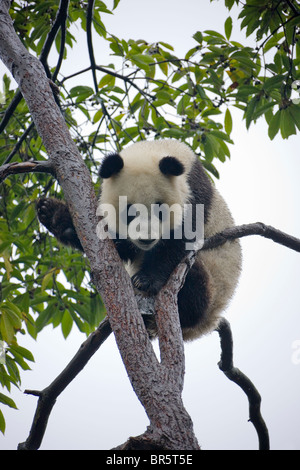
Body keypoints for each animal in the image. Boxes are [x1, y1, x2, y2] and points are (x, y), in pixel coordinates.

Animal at [36, 140, 241, 342]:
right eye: (130, 211)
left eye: (160, 210)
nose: (146, 238)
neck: (152, 150)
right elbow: (117, 245)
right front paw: (53, 214)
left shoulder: (193, 193)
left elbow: (178, 240)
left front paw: (145, 280)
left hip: (214, 285)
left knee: (197, 288)